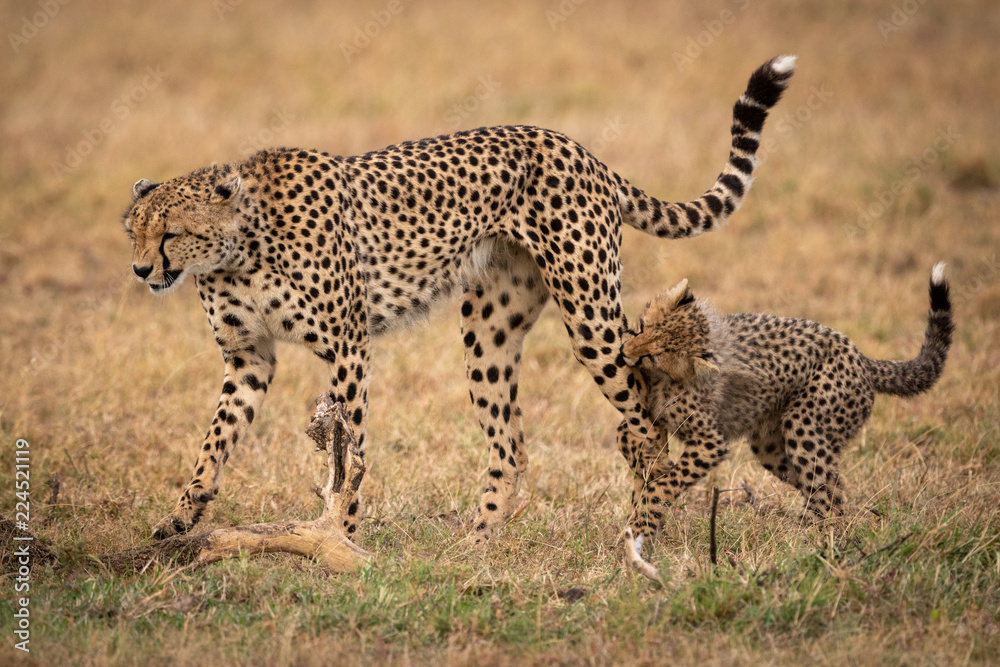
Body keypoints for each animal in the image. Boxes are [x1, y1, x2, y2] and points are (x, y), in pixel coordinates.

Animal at [120, 55, 796, 548]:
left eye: (170, 233)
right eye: (134, 230)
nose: (141, 269)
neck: (239, 248)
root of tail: (578, 148)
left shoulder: (348, 346)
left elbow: (351, 450)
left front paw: (342, 534)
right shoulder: (249, 358)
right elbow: (215, 440)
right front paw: (180, 517)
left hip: (591, 318)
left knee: (645, 421)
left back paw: (643, 523)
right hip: (489, 331)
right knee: (511, 443)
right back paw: (478, 535)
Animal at [620, 264, 953, 578]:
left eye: (654, 356)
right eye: (642, 327)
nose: (624, 352)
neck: (668, 377)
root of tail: (863, 359)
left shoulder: (711, 443)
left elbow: (671, 480)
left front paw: (649, 505)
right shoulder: (649, 417)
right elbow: (625, 436)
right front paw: (647, 467)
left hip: (805, 427)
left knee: (827, 494)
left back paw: (822, 547)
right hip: (771, 448)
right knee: (830, 487)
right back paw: (813, 533)